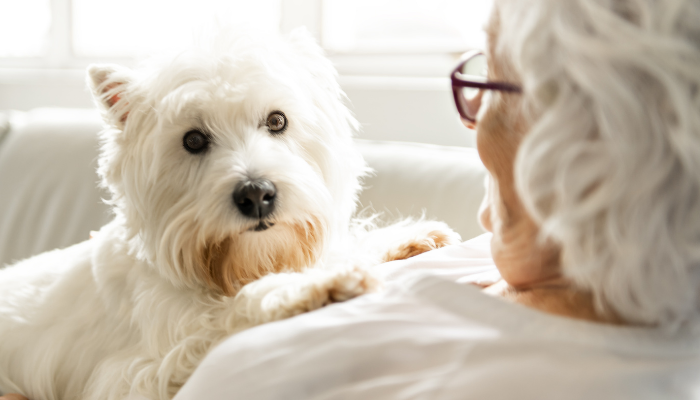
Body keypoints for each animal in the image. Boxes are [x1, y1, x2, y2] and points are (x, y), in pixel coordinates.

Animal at [0, 28, 460, 400]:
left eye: (277, 121)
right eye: (193, 140)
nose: (257, 194)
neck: (229, 266)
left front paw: (406, 239)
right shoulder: (135, 373)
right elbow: (233, 311)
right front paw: (317, 285)